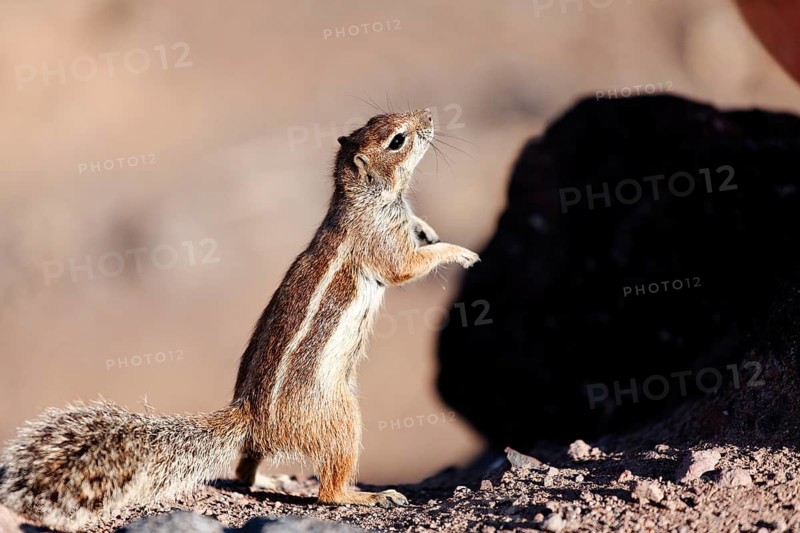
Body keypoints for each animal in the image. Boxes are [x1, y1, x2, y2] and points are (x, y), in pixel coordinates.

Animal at [0, 108, 480, 532]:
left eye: (382, 117)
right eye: (397, 140)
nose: (429, 116)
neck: (365, 197)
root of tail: (251, 415)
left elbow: (418, 232)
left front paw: (429, 230)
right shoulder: (382, 243)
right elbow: (406, 267)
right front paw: (460, 252)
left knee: (246, 468)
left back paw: (270, 478)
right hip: (342, 419)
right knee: (328, 491)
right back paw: (365, 495)